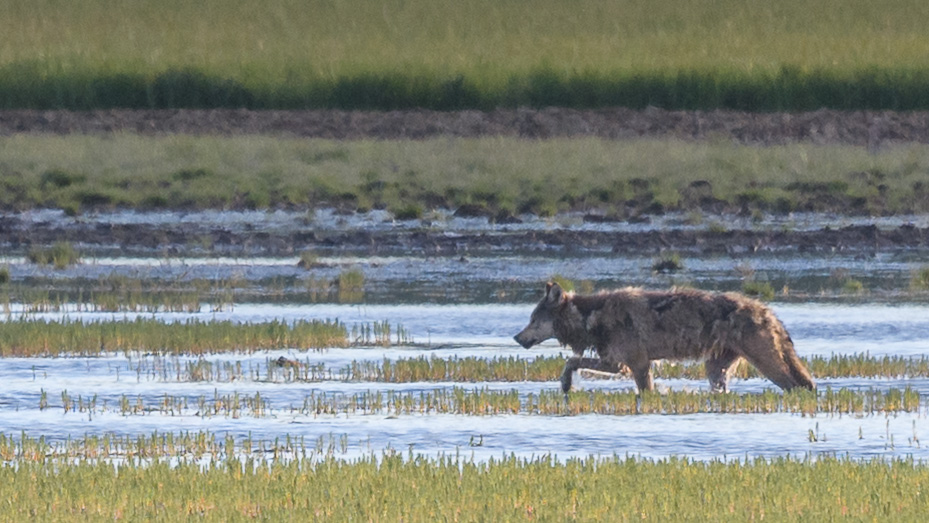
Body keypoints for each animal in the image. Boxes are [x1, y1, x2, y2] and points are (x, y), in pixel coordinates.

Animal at [514, 283, 815, 394]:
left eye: (533, 320)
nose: (516, 337)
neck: (594, 317)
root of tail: (767, 310)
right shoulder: (617, 363)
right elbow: (571, 362)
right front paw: (565, 385)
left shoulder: (637, 364)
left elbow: (645, 391)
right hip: (715, 370)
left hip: (766, 364)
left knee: (799, 386)